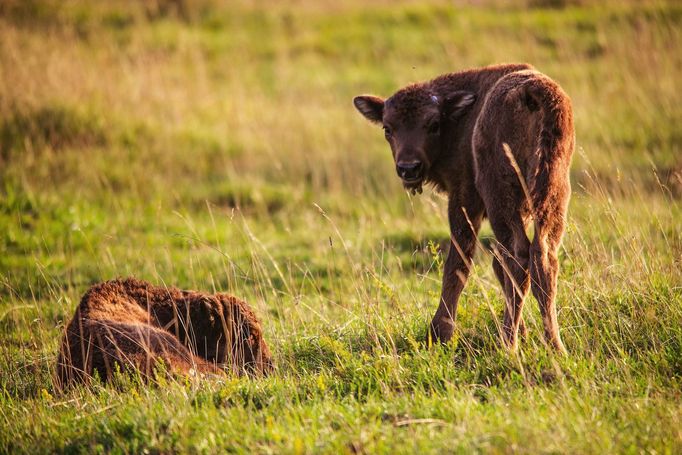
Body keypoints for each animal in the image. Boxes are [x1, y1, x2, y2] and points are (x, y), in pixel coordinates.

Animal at [354, 64, 572, 354]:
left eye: (433, 124)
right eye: (388, 129)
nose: (408, 168)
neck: (458, 120)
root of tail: (534, 91)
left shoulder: (464, 197)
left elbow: (458, 263)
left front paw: (439, 334)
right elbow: (495, 265)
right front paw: (525, 332)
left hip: (500, 196)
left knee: (517, 258)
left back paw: (508, 344)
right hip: (553, 191)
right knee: (543, 258)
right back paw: (554, 346)